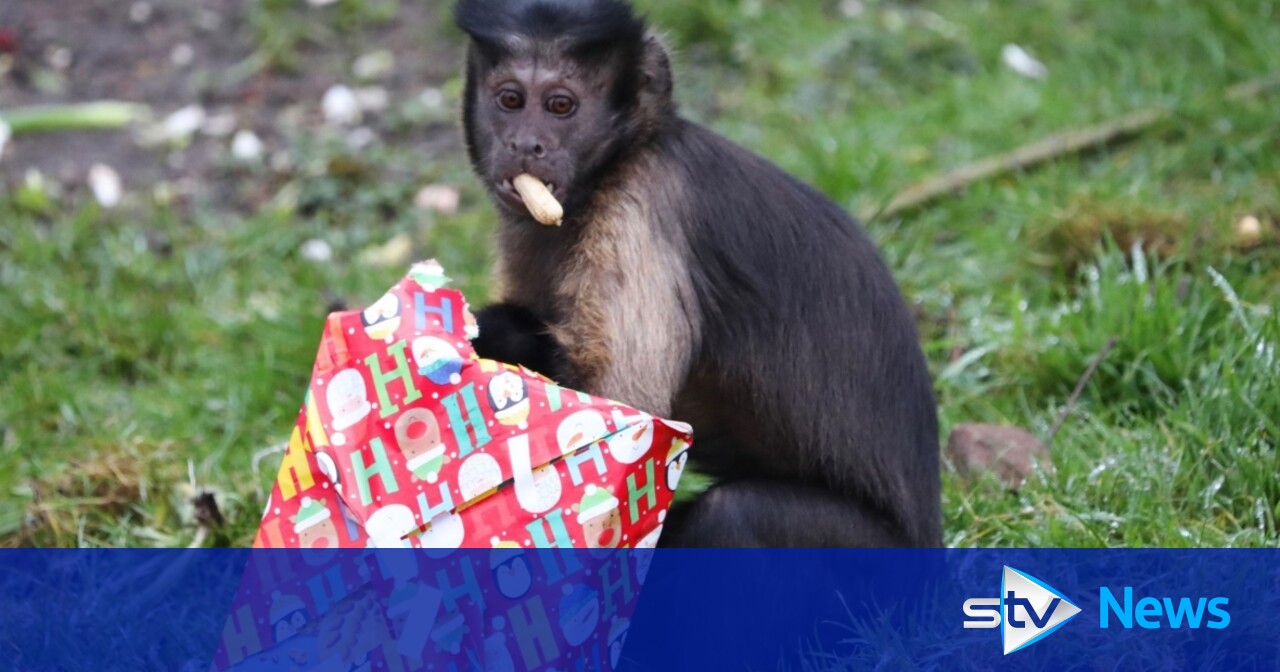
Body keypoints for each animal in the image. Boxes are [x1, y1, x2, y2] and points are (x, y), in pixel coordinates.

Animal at [458, 0, 941, 547]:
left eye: (561, 106)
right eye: (510, 100)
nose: (525, 144)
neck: (610, 169)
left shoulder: (638, 211)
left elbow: (622, 415)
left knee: (731, 514)